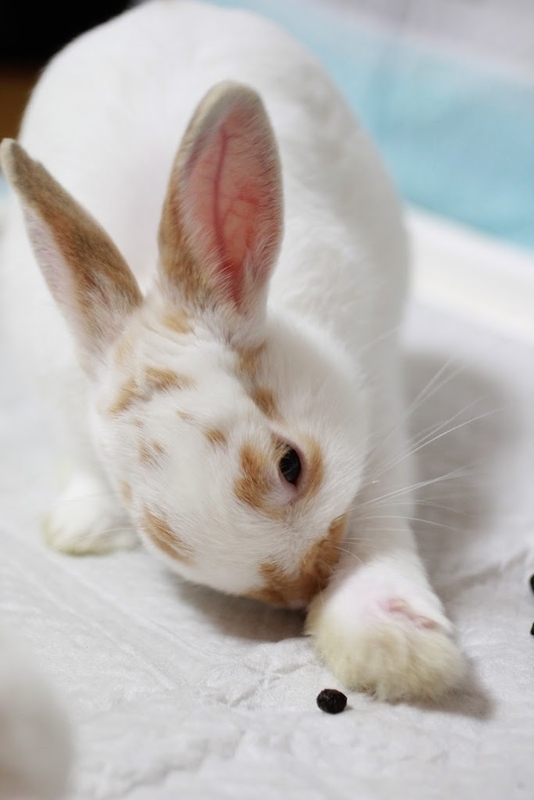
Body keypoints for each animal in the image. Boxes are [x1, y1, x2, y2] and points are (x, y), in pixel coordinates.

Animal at [0, 0, 465, 702]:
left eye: (291, 464)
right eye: (143, 513)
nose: (300, 586)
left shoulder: (378, 412)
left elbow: (380, 517)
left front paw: (392, 646)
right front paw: (81, 526)